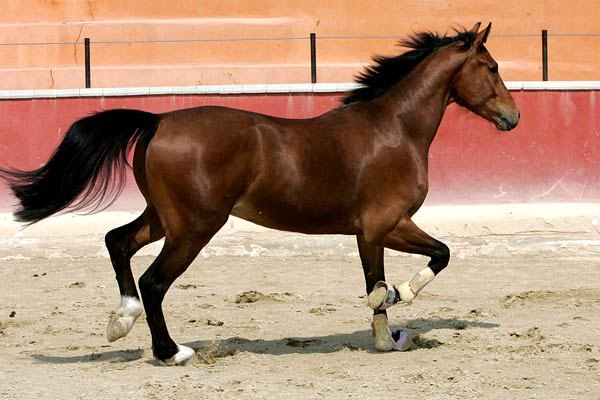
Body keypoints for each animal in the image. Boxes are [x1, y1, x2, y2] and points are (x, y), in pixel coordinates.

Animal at [0, 21, 516, 366]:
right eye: (491, 67)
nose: (513, 117)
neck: (394, 129)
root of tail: (159, 120)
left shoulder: (367, 233)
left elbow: (375, 281)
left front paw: (387, 335)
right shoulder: (388, 224)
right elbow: (438, 256)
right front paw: (398, 297)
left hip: (165, 218)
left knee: (118, 243)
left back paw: (119, 321)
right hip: (195, 226)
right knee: (154, 282)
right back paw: (171, 352)